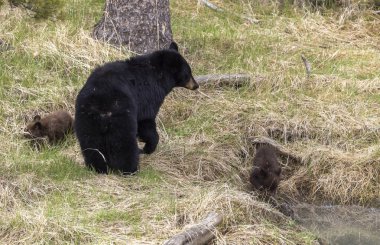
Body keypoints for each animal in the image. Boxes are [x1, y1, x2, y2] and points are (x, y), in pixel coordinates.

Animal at [74, 43, 199, 175]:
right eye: (188, 73)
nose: (196, 85)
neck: (158, 74)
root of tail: (101, 106)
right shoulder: (148, 95)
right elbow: (146, 121)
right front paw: (148, 147)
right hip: (122, 118)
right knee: (124, 144)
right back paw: (130, 169)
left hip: (86, 120)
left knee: (92, 145)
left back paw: (98, 168)